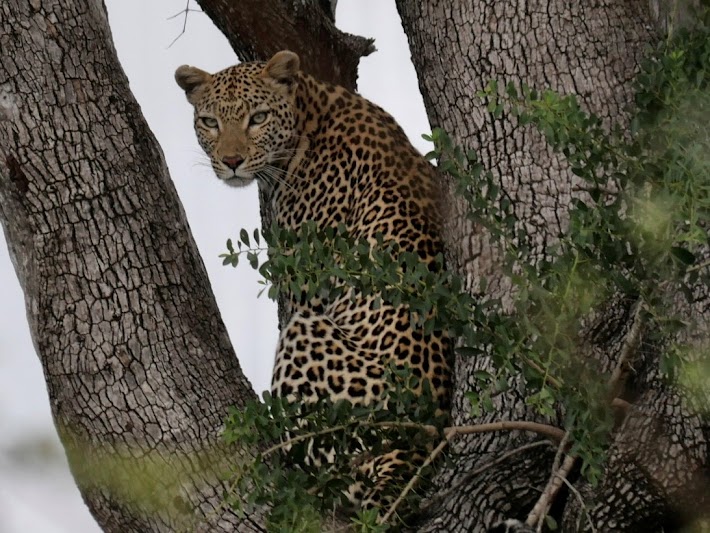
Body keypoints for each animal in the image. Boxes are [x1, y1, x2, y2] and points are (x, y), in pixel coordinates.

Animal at [175, 50, 452, 510]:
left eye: (258, 117)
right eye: (210, 122)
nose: (231, 162)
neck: (309, 114)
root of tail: (408, 452)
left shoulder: (304, 286)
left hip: (309, 340)